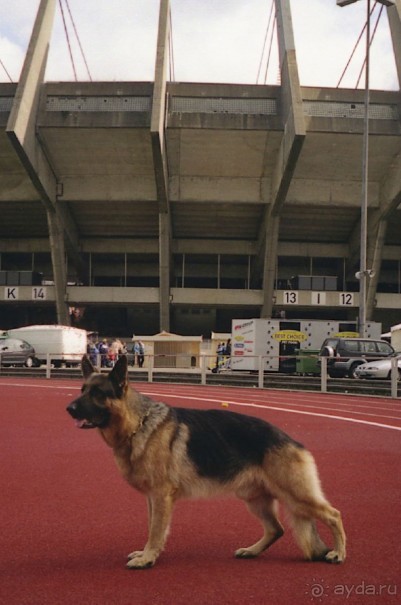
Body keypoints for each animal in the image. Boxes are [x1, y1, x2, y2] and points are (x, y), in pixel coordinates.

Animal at [67, 354, 346, 568]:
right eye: (83, 390)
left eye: (98, 393)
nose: (69, 409)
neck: (138, 424)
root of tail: (293, 441)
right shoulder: (152, 499)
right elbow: (151, 527)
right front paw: (146, 553)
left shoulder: (161, 496)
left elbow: (156, 531)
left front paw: (147, 558)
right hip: (255, 499)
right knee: (276, 529)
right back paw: (251, 551)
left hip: (295, 496)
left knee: (334, 514)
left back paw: (339, 553)